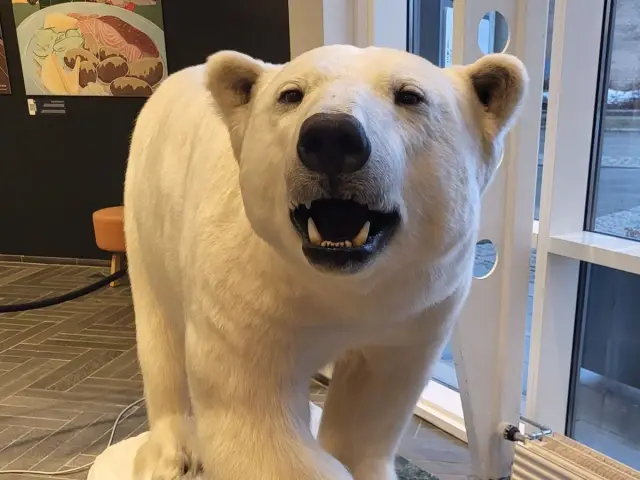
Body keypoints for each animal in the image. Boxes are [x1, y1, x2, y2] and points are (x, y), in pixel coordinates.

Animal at [123, 44, 527, 480]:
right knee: (159, 336)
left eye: (409, 95)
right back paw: (173, 454)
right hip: (144, 213)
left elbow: (371, 406)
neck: (335, 287)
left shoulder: (413, 311)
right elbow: (258, 425)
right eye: (290, 94)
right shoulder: (245, 297)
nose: (332, 136)